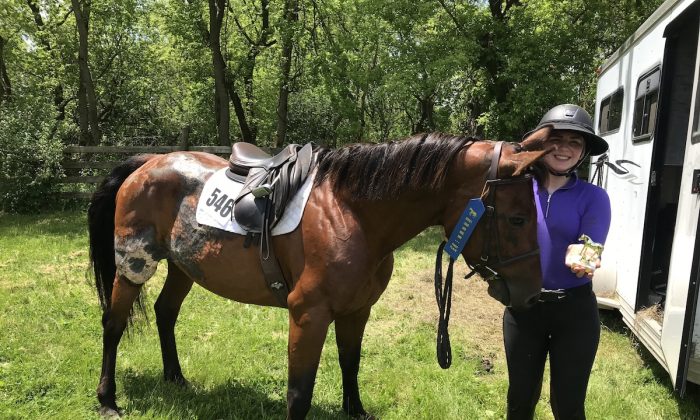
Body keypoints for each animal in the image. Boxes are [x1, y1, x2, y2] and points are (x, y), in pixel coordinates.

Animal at [86, 128, 548, 416]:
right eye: (519, 219)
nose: (532, 295)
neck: (353, 213)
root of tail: (147, 163)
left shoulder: (356, 311)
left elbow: (350, 363)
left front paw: (355, 410)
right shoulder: (308, 315)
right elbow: (299, 393)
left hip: (184, 266)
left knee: (165, 313)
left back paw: (176, 378)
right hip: (134, 267)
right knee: (113, 324)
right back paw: (107, 400)